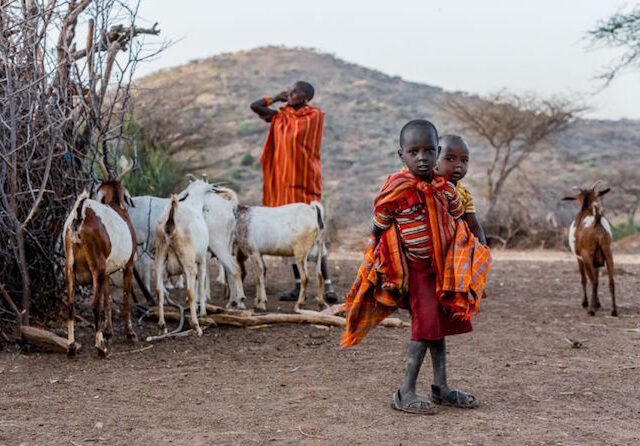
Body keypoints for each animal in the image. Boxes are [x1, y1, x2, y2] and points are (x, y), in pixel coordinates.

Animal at [62, 160, 136, 356]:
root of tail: (80, 214)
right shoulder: (129, 265)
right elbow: (125, 298)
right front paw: (129, 333)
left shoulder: (108, 272)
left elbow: (108, 298)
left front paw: (109, 332)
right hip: (97, 267)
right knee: (95, 305)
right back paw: (100, 346)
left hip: (70, 268)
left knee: (71, 304)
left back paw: (71, 346)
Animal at [154, 181, 212, 334]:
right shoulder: (201, 259)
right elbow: (200, 283)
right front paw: (202, 311)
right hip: (187, 259)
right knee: (190, 291)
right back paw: (196, 326)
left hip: (160, 255)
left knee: (159, 290)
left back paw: (162, 326)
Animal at [564, 181, 616, 318]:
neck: (586, 210)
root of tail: (596, 222)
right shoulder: (597, 260)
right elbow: (597, 276)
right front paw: (597, 303)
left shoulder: (579, 258)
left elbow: (584, 279)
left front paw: (586, 303)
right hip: (608, 253)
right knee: (611, 281)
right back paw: (614, 310)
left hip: (586, 256)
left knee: (592, 281)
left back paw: (591, 310)